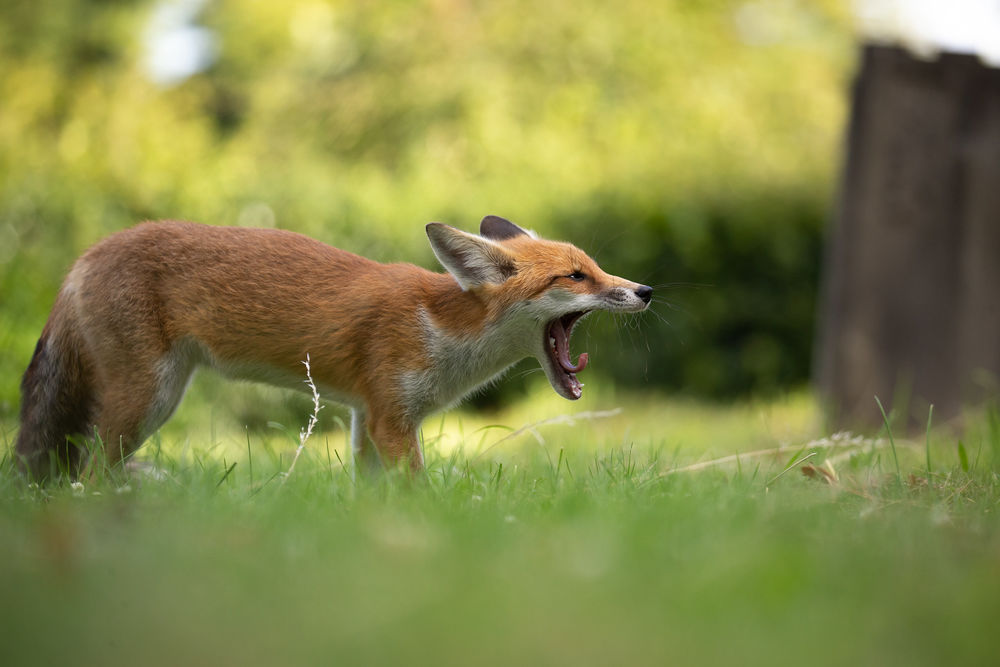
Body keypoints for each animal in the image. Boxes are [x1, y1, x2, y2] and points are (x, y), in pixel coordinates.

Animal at [15, 216, 651, 479]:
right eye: (576, 277)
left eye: (595, 268)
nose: (645, 290)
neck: (444, 329)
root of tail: (84, 257)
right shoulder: (392, 420)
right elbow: (417, 490)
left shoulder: (366, 417)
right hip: (149, 398)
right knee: (91, 471)